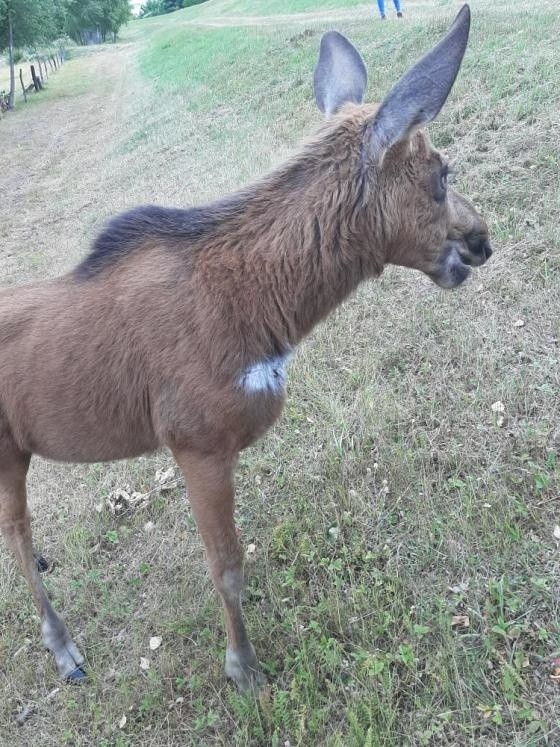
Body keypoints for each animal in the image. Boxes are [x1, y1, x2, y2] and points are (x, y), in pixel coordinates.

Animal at [1, 7, 490, 696]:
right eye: (442, 174)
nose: (482, 240)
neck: (262, 310)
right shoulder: (195, 438)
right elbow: (227, 565)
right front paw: (245, 668)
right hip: (7, 447)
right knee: (16, 533)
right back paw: (65, 649)